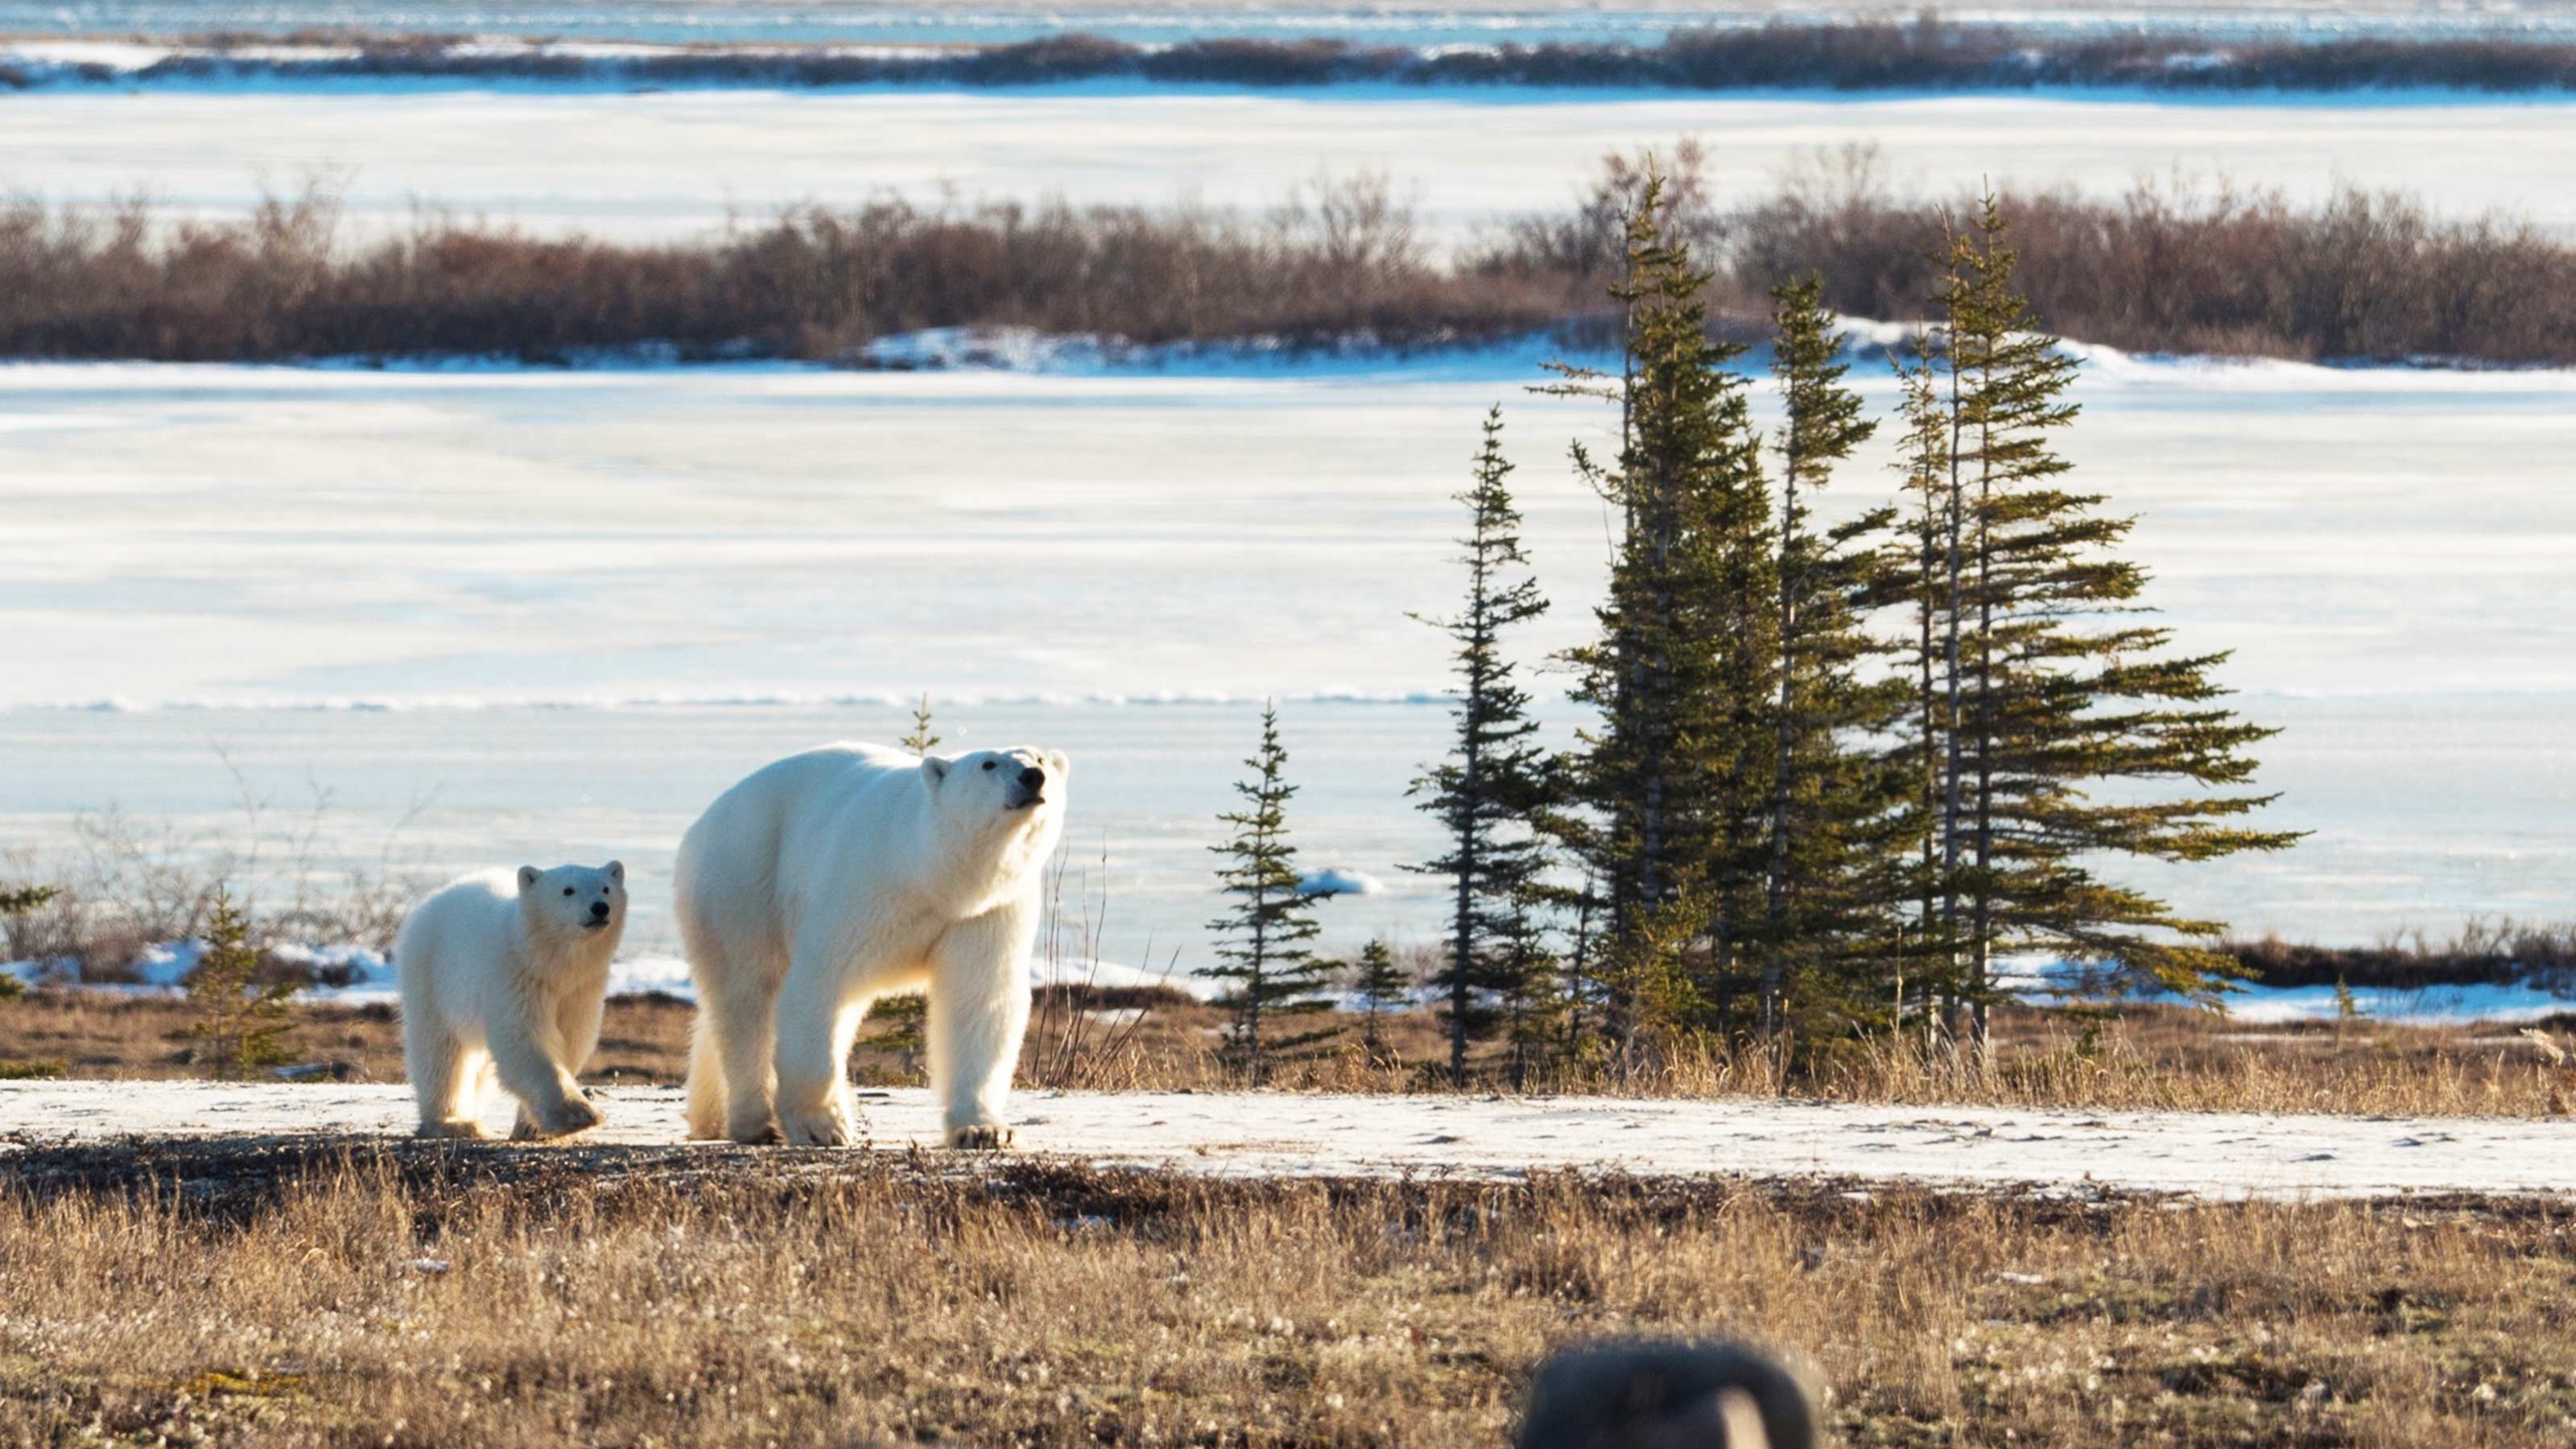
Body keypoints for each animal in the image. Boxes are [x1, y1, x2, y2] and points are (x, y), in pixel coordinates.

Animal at [394, 862, 626, 1140]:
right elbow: (524, 1038)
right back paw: (453, 1122)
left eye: (606, 888)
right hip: (432, 975)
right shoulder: (515, 975)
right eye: (567, 890)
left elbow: (571, 1039)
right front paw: (577, 1115)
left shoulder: (580, 990)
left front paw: (532, 1128)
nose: (600, 907)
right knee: (440, 1052)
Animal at [673, 742, 1067, 1149]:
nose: (1033, 777)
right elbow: (822, 983)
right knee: (747, 997)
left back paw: (711, 1116)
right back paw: (756, 1121)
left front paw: (984, 1129)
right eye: (988, 764)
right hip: (745, 880)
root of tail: (708, 818)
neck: (930, 873)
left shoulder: (984, 912)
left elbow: (978, 998)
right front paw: (822, 1126)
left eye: (1039, 758)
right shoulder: (863, 887)